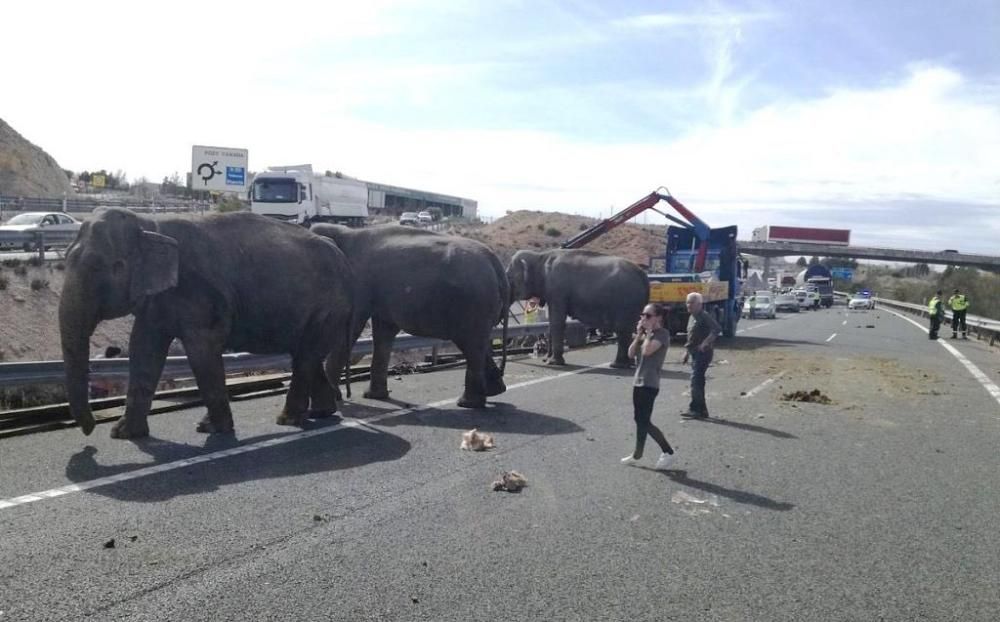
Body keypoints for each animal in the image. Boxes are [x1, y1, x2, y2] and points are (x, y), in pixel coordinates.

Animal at [59, 208, 356, 438]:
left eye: (111, 267)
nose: (89, 430)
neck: (150, 225)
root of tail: (343, 258)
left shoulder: (198, 292)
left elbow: (201, 349)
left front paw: (213, 428)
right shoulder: (157, 298)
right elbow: (143, 348)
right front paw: (124, 434)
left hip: (327, 309)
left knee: (305, 357)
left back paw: (288, 420)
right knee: (306, 356)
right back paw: (321, 412)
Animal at [308, 224, 508, 410]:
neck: (345, 231)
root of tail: (495, 261)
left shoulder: (359, 284)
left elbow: (353, 327)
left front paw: (337, 398)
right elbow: (383, 332)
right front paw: (373, 396)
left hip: (473, 303)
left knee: (470, 344)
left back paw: (467, 403)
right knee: (477, 344)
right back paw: (494, 391)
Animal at [508, 249, 648, 368]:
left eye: (508, 276)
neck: (540, 256)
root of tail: (643, 276)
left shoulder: (558, 290)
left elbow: (557, 321)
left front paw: (554, 363)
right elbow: (551, 321)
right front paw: (547, 359)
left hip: (626, 302)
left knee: (622, 330)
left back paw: (617, 365)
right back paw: (629, 363)